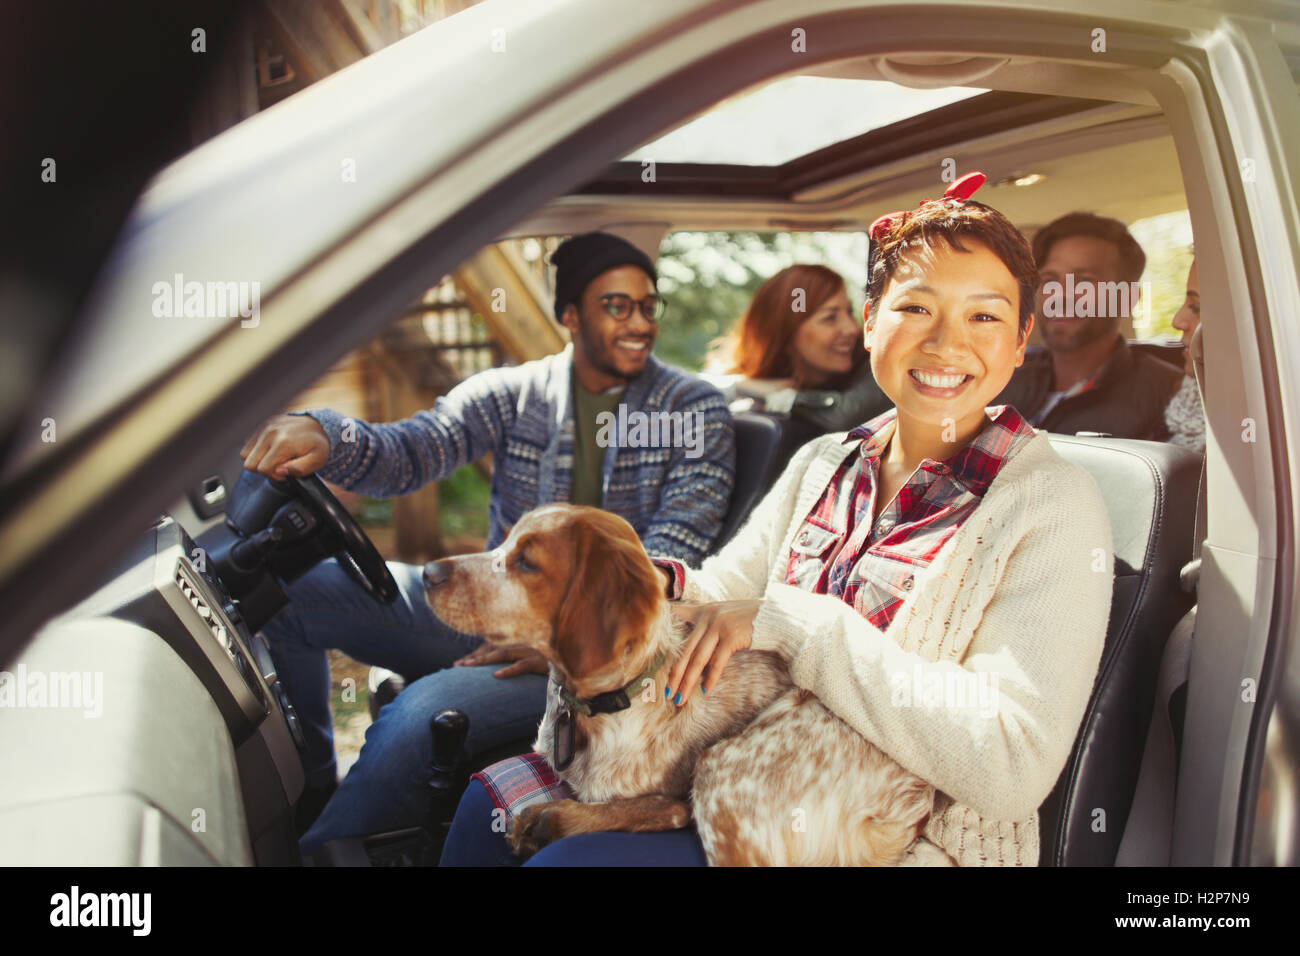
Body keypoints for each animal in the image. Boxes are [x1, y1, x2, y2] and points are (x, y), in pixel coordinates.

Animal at [426, 504, 935, 863]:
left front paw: (554, 818)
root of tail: (911, 802)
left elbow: (662, 807)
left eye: (528, 563)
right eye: (503, 544)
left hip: (724, 770)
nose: (430, 572)